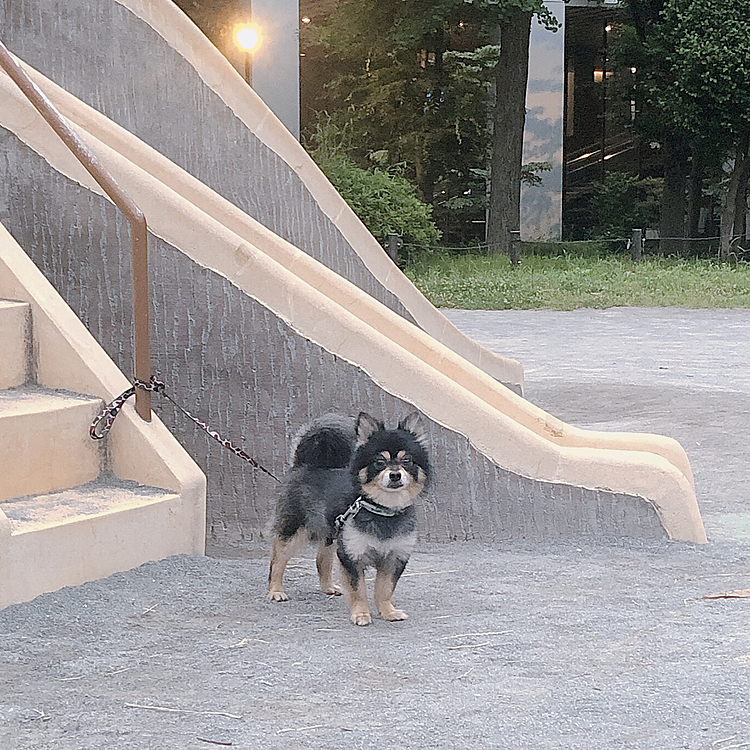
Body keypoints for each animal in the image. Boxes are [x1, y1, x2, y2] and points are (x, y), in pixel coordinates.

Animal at [268, 414, 428, 624]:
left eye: (406, 460)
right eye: (379, 462)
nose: (395, 475)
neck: (382, 509)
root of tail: (304, 465)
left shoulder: (394, 558)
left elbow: (385, 590)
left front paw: (388, 612)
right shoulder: (351, 556)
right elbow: (358, 590)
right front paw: (361, 614)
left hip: (332, 533)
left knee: (322, 560)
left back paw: (328, 587)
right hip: (293, 531)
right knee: (277, 561)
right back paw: (275, 591)